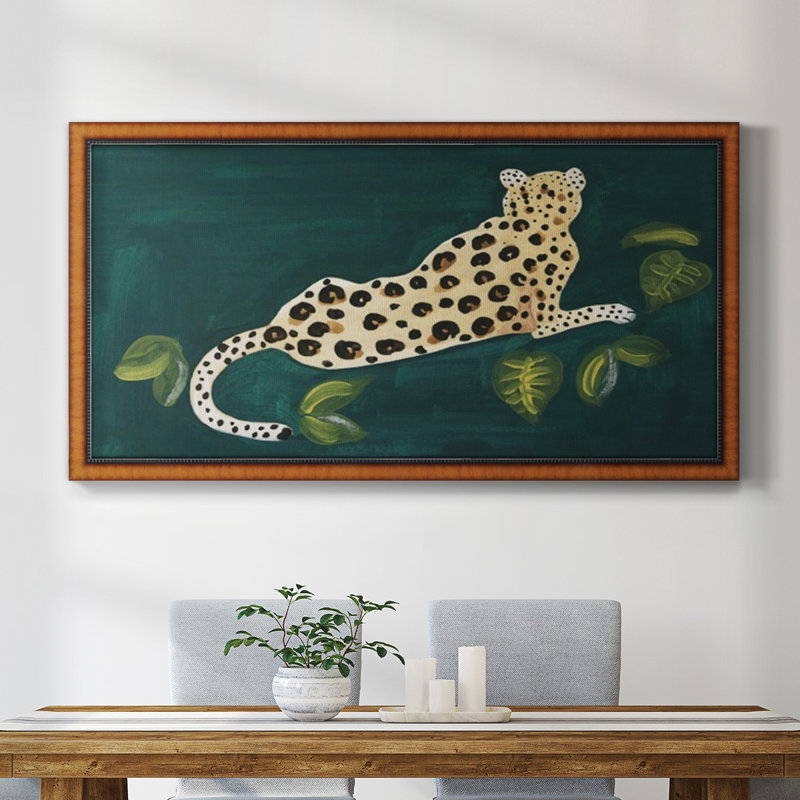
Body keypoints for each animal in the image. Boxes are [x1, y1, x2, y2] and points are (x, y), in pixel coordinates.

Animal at [190, 166, 635, 440]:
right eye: (561, 181)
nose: (578, 173)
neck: (528, 220)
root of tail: (276, 330)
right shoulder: (546, 321)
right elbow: (585, 312)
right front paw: (620, 311)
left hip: (325, 281)